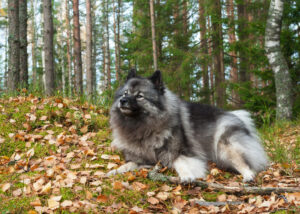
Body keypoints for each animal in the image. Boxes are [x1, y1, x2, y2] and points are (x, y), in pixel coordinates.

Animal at [108, 69, 270, 181]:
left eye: (140, 96)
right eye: (125, 93)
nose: (123, 101)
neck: (142, 126)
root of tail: (236, 116)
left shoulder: (181, 152)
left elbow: (179, 162)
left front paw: (187, 176)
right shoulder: (144, 160)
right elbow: (127, 165)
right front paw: (112, 172)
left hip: (225, 146)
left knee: (244, 163)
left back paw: (248, 175)